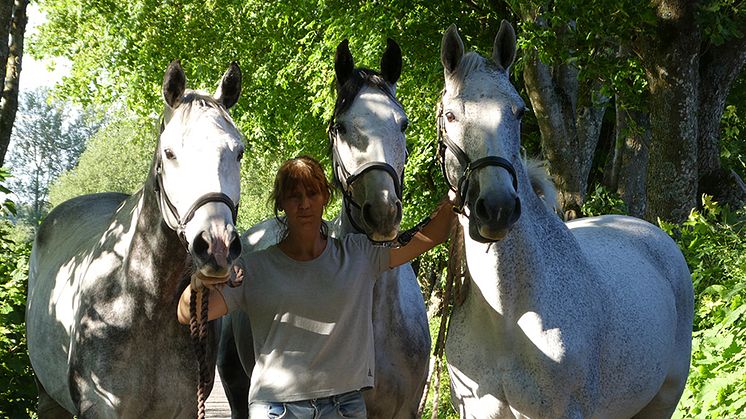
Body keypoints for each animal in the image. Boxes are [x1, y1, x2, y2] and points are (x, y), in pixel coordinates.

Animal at [24, 60, 241, 419]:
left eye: (239, 152)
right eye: (169, 153)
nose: (217, 245)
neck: (142, 299)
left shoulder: (183, 407)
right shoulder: (99, 407)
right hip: (46, 397)